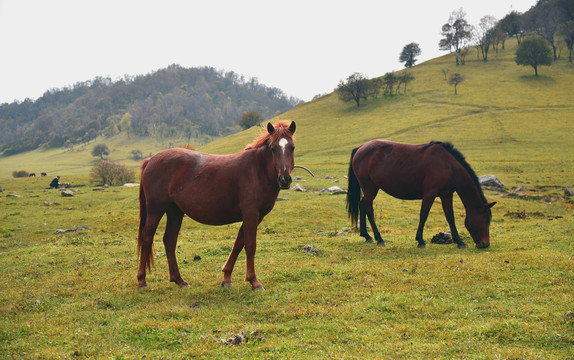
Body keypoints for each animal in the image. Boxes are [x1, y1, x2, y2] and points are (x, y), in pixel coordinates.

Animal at [136, 121, 296, 290]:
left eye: (292, 147)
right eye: (273, 148)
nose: (284, 179)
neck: (257, 170)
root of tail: (150, 160)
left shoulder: (256, 216)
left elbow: (239, 243)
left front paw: (227, 277)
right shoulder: (251, 214)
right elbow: (250, 245)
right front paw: (254, 281)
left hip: (175, 211)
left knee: (169, 241)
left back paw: (179, 280)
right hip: (155, 210)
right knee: (147, 238)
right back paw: (142, 280)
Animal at [348, 139, 498, 249]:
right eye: (486, 220)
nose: (485, 244)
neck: (448, 165)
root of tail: (360, 147)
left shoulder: (446, 194)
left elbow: (450, 217)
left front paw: (459, 242)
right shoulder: (430, 193)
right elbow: (423, 215)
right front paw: (420, 241)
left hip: (372, 188)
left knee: (362, 204)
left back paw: (367, 236)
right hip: (368, 186)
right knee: (369, 209)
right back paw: (379, 239)